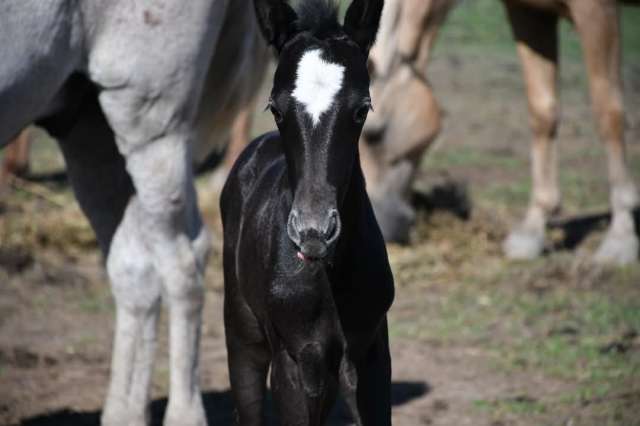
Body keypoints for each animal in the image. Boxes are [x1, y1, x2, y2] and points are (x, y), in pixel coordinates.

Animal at [220, 0, 394, 424]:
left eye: (362, 109)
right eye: (275, 107)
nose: (313, 233)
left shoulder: (370, 359)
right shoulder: (294, 364)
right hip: (242, 339)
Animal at [361, 0, 639, 264]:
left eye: (374, 134)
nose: (384, 230)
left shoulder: (597, 10)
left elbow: (608, 114)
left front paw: (621, 237)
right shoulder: (528, 13)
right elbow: (542, 111)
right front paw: (531, 232)